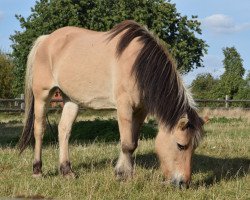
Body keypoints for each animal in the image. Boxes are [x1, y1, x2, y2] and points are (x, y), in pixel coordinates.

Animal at [19, 20, 203, 189]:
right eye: (180, 145)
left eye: (195, 147)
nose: (183, 183)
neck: (138, 64)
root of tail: (46, 39)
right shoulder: (124, 107)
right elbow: (127, 144)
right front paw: (124, 176)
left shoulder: (140, 110)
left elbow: (133, 142)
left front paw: (122, 172)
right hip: (42, 95)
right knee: (39, 130)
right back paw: (37, 170)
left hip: (71, 99)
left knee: (64, 129)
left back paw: (66, 171)